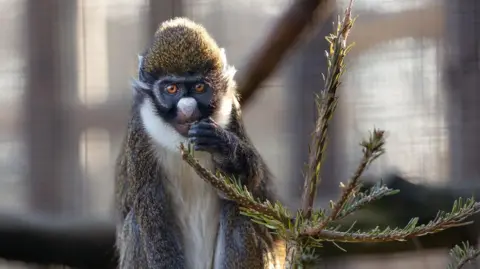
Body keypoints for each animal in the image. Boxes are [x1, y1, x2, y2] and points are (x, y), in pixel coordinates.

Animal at [115, 17, 282, 268]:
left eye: (199, 87)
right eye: (171, 89)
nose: (187, 108)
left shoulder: (232, 113)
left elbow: (252, 184)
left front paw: (224, 147)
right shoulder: (139, 134)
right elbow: (151, 213)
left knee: (239, 211)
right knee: (135, 224)